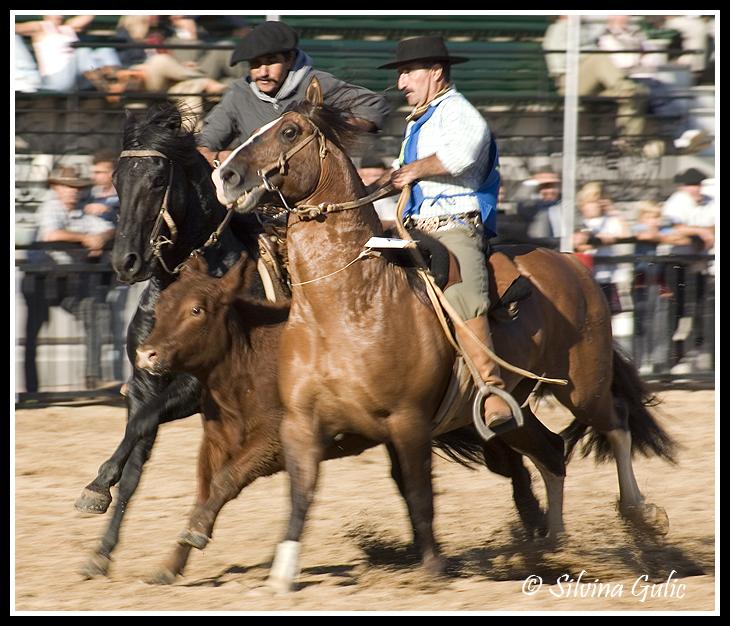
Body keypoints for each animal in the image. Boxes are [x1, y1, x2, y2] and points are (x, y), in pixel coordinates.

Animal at [213, 81, 672, 588]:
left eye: (290, 130)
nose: (225, 175)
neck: (349, 301)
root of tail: (575, 266)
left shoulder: (408, 421)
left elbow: (419, 493)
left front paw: (432, 566)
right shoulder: (301, 423)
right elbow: (301, 492)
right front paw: (282, 573)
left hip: (581, 386)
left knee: (616, 424)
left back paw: (636, 516)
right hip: (511, 409)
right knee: (552, 451)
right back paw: (551, 547)